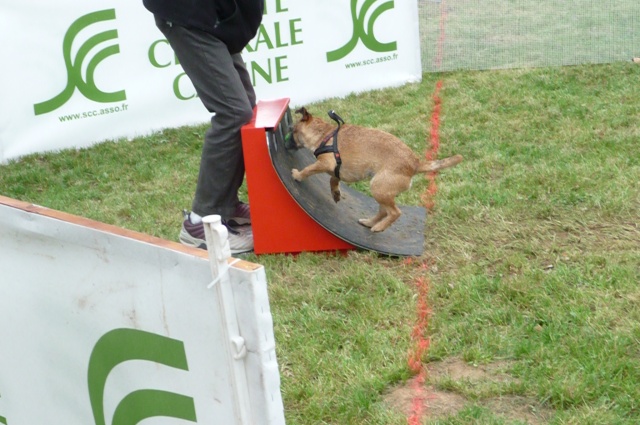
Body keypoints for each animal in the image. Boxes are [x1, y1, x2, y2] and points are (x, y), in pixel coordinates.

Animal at [292, 106, 464, 232]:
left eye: (293, 131)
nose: (288, 141)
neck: (325, 135)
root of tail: (415, 164)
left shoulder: (325, 164)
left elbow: (308, 169)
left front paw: (297, 175)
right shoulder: (335, 170)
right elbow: (332, 180)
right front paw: (335, 193)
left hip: (378, 188)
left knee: (395, 212)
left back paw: (379, 227)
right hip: (382, 190)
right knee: (383, 211)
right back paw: (369, 222)